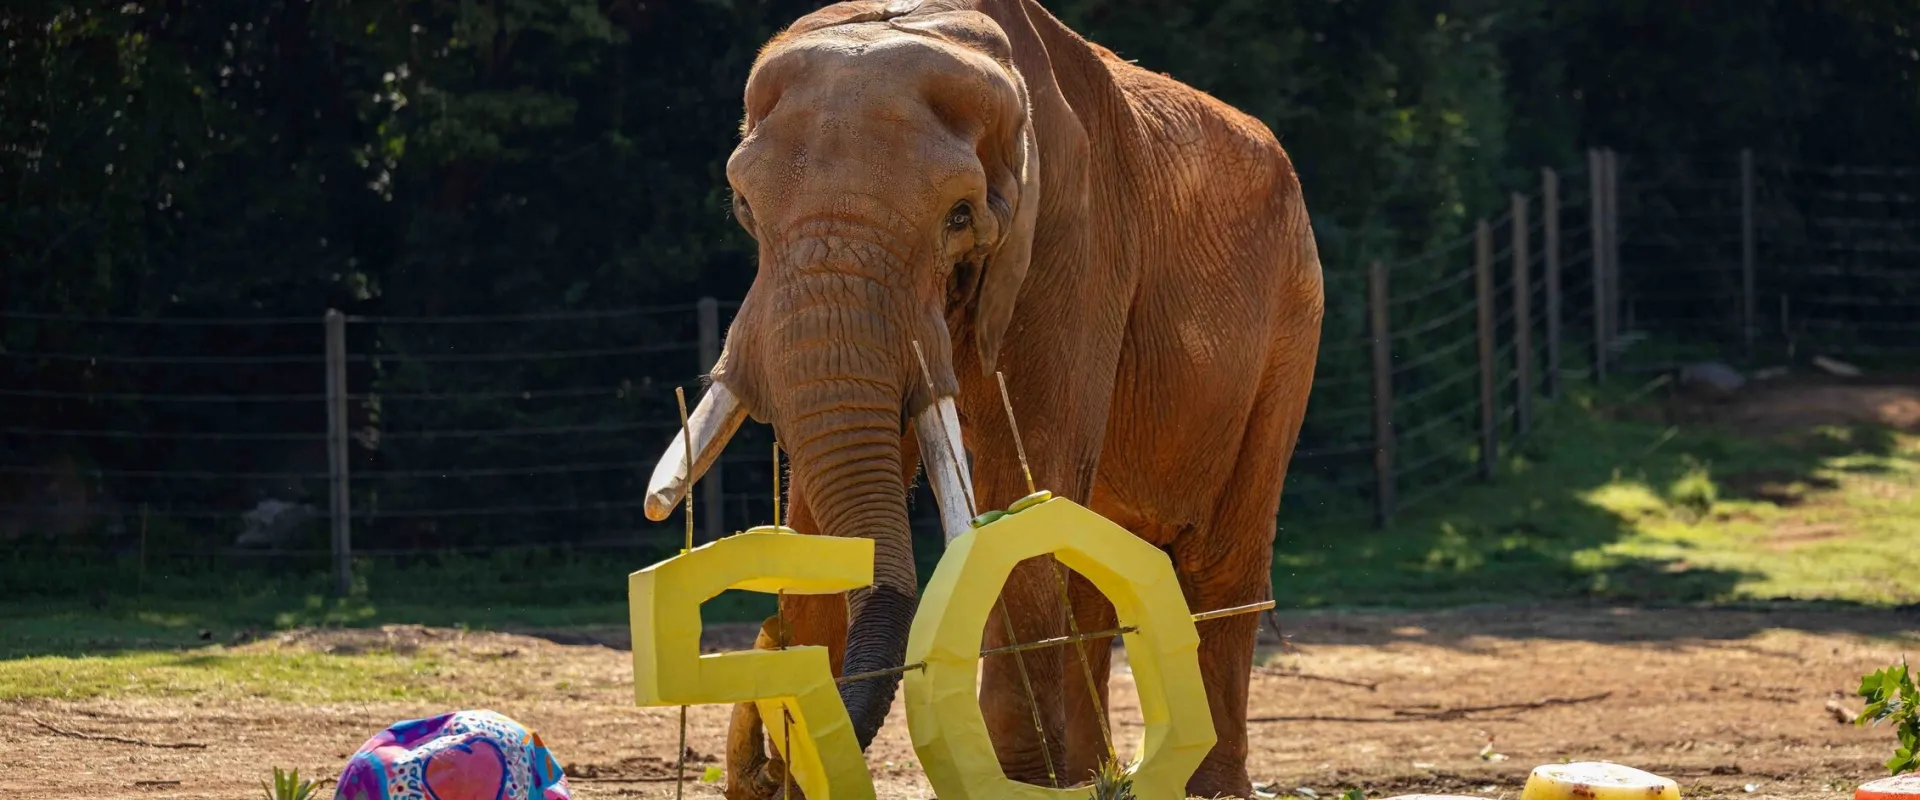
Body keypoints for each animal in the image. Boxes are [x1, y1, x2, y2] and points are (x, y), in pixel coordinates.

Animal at [641, 0, 1323, 797]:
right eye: (745, 207)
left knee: (1220, 559)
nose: (771, 763)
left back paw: (1192, 785)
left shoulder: (1074, 242)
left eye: (959, 217)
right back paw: (1099, 778)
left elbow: (1023, 485)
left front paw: (1023, 779)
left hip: (1292, 319)